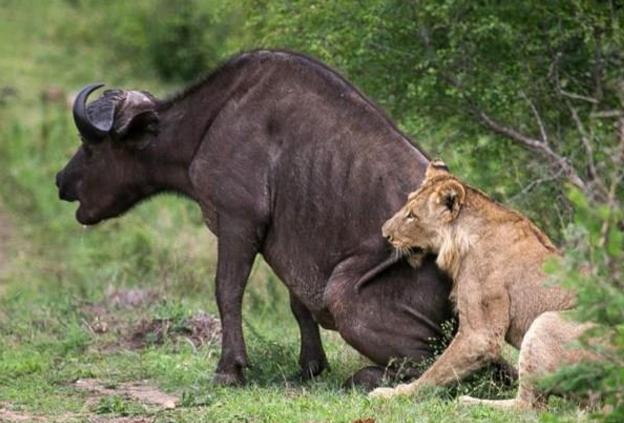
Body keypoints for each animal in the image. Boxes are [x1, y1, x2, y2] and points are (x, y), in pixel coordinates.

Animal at [56, 50, 456, 390]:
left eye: (89, 147)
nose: (61, 180)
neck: (210, 122)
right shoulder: (292, 243)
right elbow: (298, 303)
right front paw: (310, 366)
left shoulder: (237, 222)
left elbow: (227, 291)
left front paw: (229, 369)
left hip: (344, 293)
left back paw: (365, 377)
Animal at [368, 161, 596, 410]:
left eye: (412, 216)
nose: (384, 233)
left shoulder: (480, 335)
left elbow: (435, 372)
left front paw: (396, 394)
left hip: (547, 322)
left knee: (527, 407)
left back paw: (468, 401)